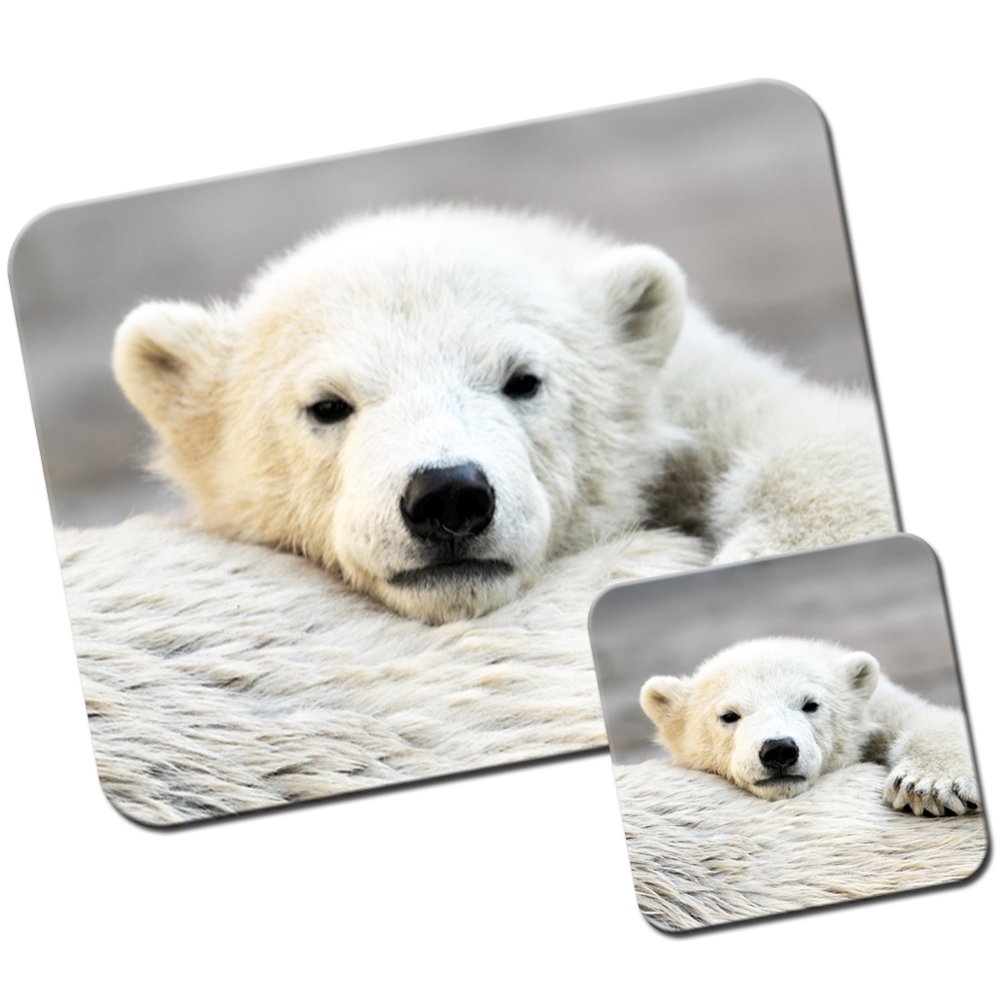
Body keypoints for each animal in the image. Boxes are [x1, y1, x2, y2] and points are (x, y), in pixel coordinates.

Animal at [640, 636, 981, 815]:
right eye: (729, 715)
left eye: (810, 704)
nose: (778, 750)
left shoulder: (880, 707)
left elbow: (927, 718)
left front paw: (929, 785)